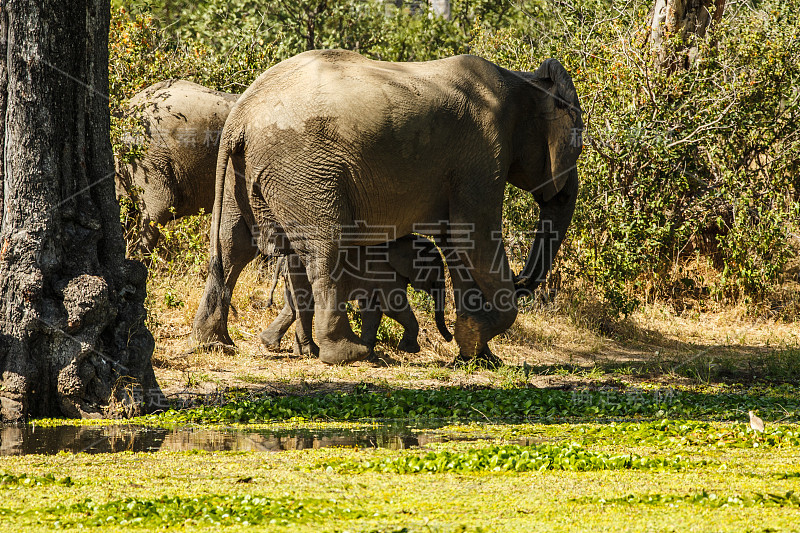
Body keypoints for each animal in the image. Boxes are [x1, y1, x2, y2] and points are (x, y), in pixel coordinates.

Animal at [192, 50, 580, 366]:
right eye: (576, 148)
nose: (521, 279)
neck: (524, 80)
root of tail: (240, 114)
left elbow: (458, 244)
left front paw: (478, 356)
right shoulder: (484, 153)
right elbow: (475, 237)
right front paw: (472, 337)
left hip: (244, 171)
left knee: (232, 245)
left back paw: (214, 345)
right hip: (303, 169)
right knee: (325, 248)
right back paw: (347, 354)